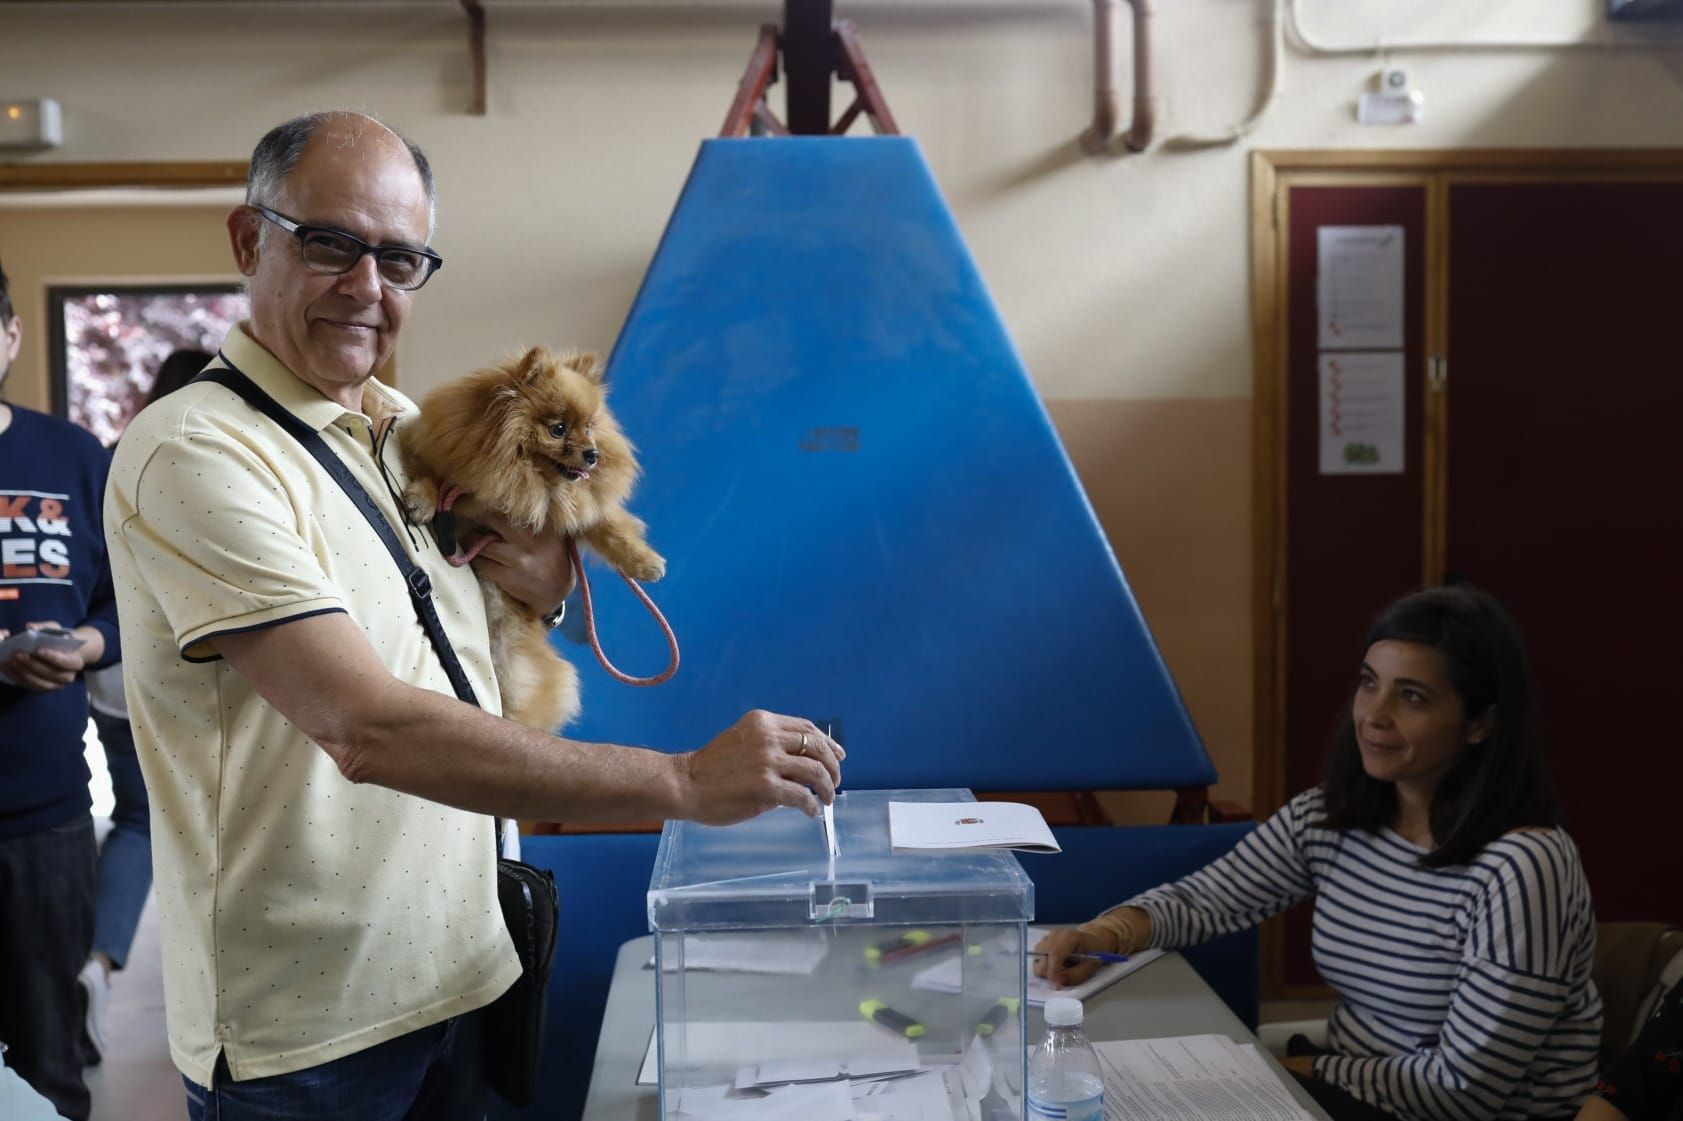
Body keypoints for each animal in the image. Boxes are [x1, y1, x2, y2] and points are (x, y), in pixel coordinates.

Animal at [395, 350, 663, 733]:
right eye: (558, 429)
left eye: (590, 427)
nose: (592, 454)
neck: (528, 484)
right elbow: (432, 476)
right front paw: (422, 500)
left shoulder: (572, 514)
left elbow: (609, 526)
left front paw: (645, 563)